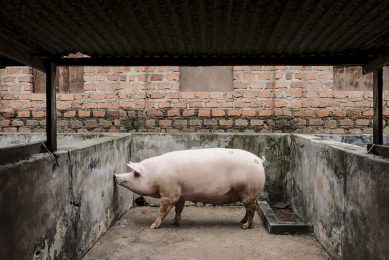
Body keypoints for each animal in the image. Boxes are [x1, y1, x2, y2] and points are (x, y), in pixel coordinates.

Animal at [113, 148, 266, 230]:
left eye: (135, 173)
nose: (115, 176)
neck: (155, 174)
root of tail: (259, 160)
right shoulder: (181, 194)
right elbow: (178, 209)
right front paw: (174, 223)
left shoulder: (169, 193)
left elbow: (163, 210)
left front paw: (152, 226)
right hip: (247, 195)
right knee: (247, 209)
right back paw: (241, 221)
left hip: (249, 190)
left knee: (251, 209)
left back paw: (245, 226)